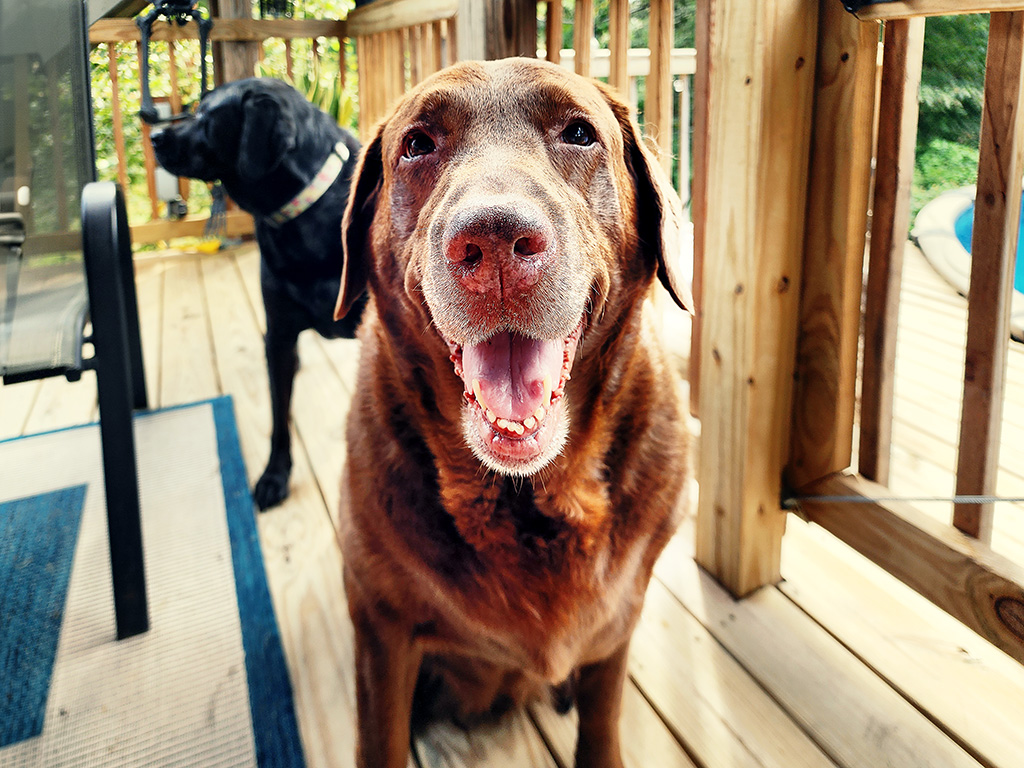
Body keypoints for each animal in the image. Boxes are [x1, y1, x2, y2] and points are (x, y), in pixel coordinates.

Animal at [152, 78, 368, 512]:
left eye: (205, 116)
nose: (153, 137)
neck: (303, 216)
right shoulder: (279, 334)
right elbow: (278, 415)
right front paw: (274, 475)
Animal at [331, 57, 692, 765]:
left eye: (578, 133)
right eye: (417, 144)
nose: (494, 241)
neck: (528, 496)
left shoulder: (618, 620)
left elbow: (603, 720)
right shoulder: (379, 625)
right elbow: (380, 737)